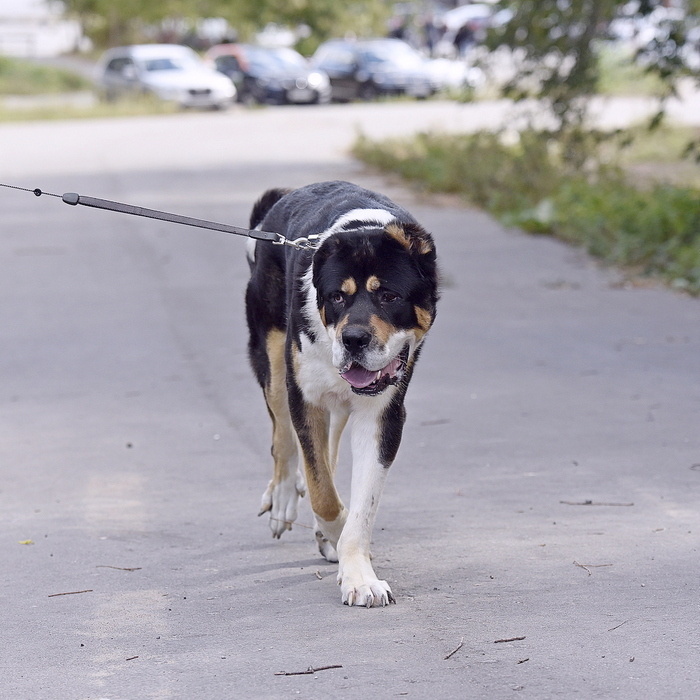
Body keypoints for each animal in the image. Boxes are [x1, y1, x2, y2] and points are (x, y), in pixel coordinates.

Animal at [243, 180, 434, 608]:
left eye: (389, 296)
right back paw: (284, 496)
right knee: (284, 437)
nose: (354, 339)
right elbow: (323, 494)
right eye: (337, 297)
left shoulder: (382, 415)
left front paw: (359, 575)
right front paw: (333, 529)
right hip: (273, 356)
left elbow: (362, 503)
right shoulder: (306, 396)